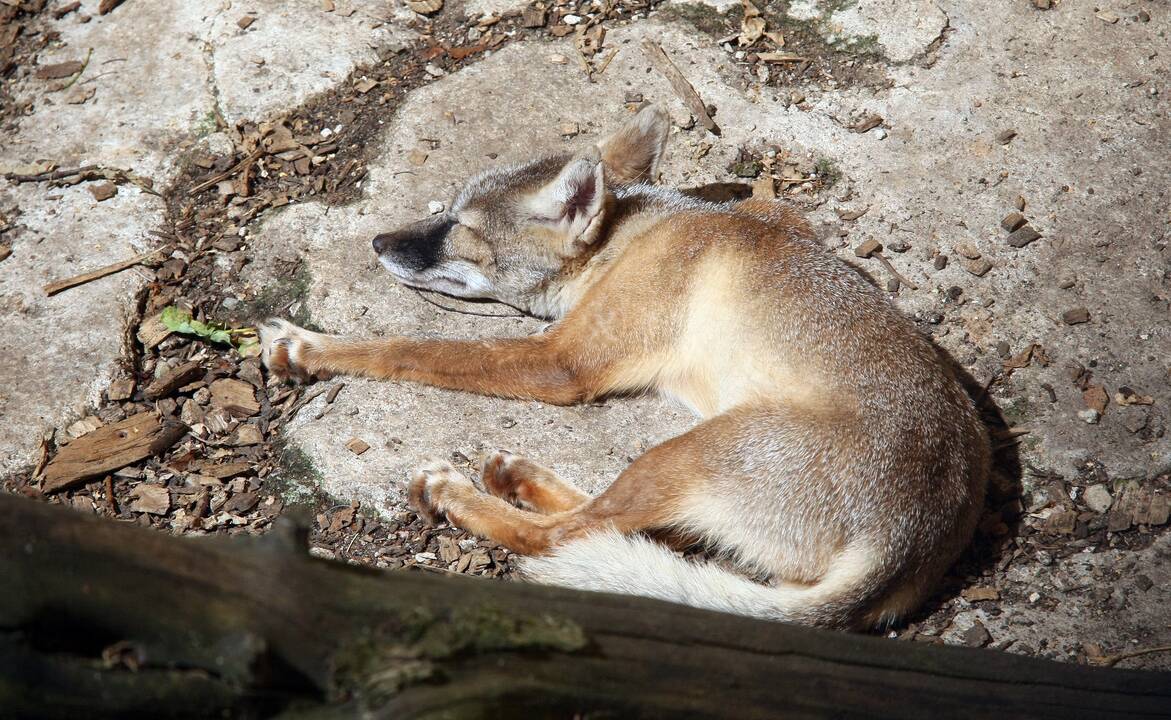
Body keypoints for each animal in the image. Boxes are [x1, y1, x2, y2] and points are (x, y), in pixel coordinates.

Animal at [258, 104, 988, 627]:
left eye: (460, 231)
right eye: (444, 209)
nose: (378, 242)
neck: (637, 231)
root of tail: (910, 539)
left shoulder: (559, 363)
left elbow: (412, 348)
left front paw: (310, 347)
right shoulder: (779, 210)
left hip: (686, 452)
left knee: (562, 539)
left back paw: (461, 492)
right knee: (617, 532)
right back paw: (518, 475)